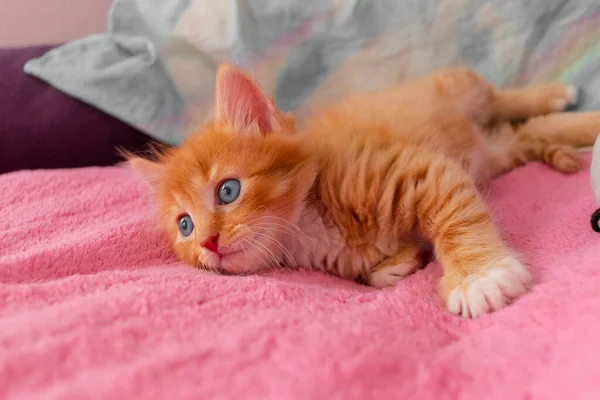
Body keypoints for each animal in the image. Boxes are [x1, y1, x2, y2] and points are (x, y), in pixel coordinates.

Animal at [130, 64, 600, 318]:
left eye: (228, 191)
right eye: (185, 226)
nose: (207, 242)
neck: (309, 226)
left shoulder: (417, 171)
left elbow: (457, 220)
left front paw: (479, 277)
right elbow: (373, 272)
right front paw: (396, 264)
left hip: (460, 87)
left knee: (502, 99)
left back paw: (557, 94)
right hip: (502, 150)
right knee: (534, 130)